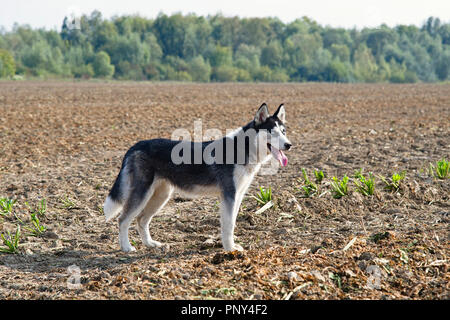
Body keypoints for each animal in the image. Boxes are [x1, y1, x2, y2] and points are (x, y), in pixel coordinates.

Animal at [103, 104, 292, 251]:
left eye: (283, 131)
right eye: (272, 132)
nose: (289, 145)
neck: (243, 148)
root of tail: (135, 146)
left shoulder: (238, 195)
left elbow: (232, 223)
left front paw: (232, 245)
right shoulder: (229, 196)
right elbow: (228, 225)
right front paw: (230, 249)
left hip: (161, 196)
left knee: (141, 219)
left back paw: (150, 244)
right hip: (142, 194)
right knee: (122, 219)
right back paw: (127, 247)